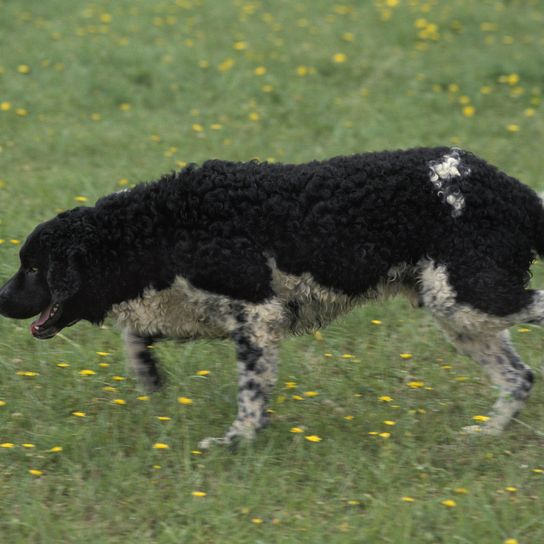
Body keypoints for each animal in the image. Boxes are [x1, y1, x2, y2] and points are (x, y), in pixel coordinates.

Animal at [1, 147, 544, 448]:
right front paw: (151, 380)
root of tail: (517, 193)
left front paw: (236, 442)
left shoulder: (257, 315)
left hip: (469, 295)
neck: (159, 227)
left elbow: (250, 396)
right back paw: (486, 435)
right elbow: (135, 336)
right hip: (458, 311)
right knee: (518, 377)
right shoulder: (195, 309)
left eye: (33, 267)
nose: (1, 298)